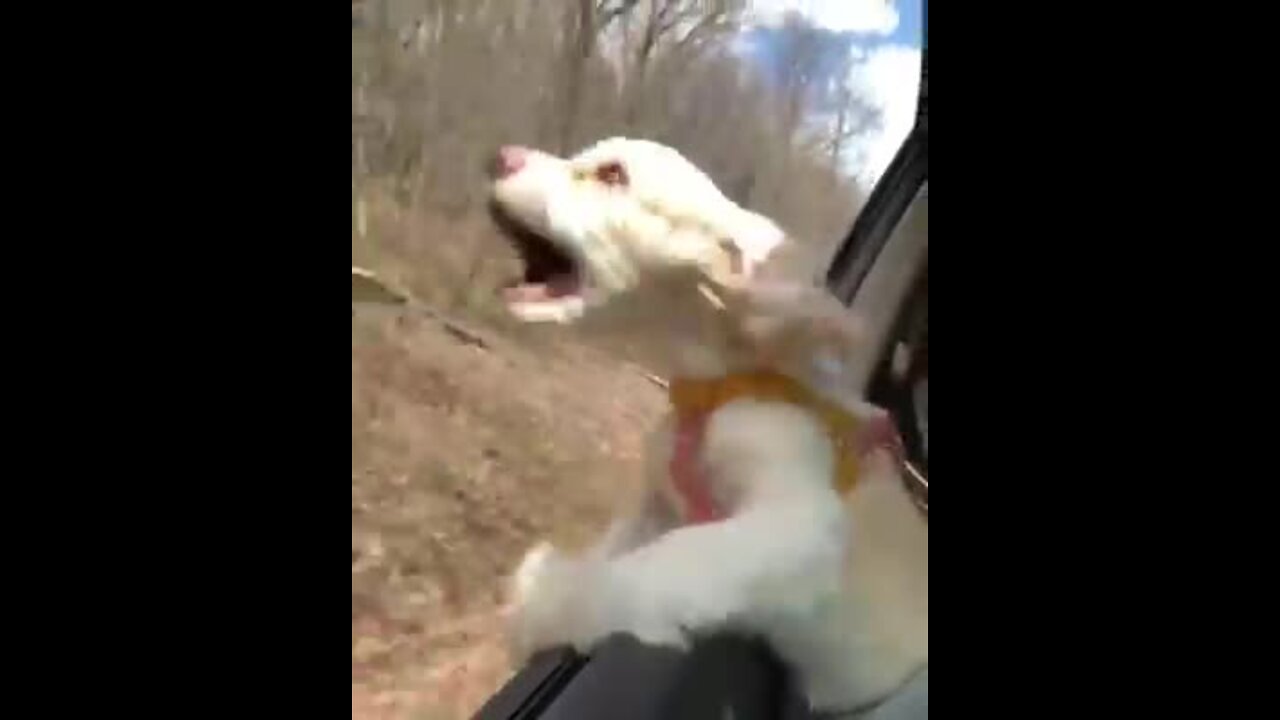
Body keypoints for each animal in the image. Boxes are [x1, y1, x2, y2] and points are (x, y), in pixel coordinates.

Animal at [483, 137, 926, 707]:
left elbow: (657, 566)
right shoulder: (656, 506)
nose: (501, 156)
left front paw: (549, 598)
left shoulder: (802, 522)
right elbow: (620, 548)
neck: (714, 386)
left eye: (612, 174)